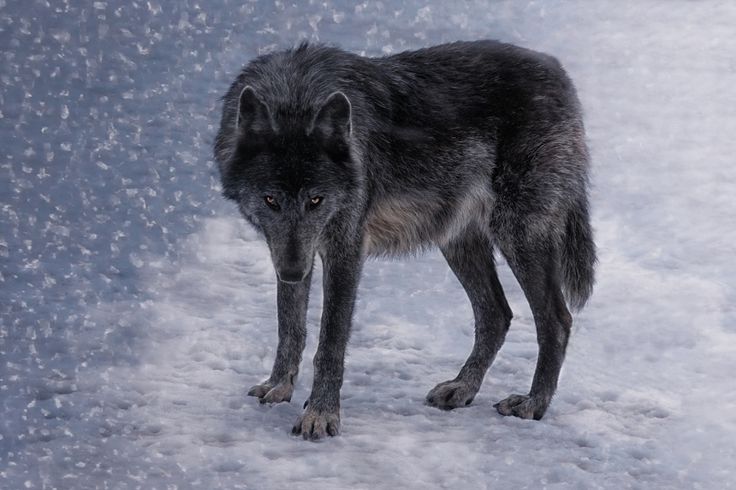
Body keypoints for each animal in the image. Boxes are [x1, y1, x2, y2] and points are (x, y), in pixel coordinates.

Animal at [216, 41, 596, 440]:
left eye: (316, 200)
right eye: (270, 200)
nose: (291, 272)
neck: (295, 94)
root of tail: (558, 71)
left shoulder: (344, 249)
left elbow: (330, 342)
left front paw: (320, 415)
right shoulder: (289, 250)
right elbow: (289, 326)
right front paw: (279, 386)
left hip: (516, 234)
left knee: (556, 320)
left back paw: (533, 404)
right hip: (457, 242)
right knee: (496, 313)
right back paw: (462, 388)